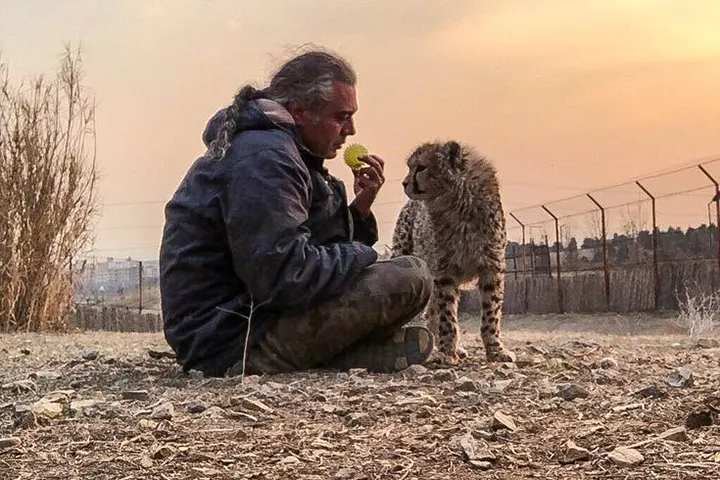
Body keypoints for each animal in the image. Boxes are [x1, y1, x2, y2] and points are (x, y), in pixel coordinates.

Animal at [390, 141, 516, 366]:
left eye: (421, 167)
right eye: (410, 167)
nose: (404, 183)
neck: (459, 202)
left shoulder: (491, 268)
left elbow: (491, 314)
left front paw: (496, 350)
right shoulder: (444, 272)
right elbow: (447, 316)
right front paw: (447, 352)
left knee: (431, 311)